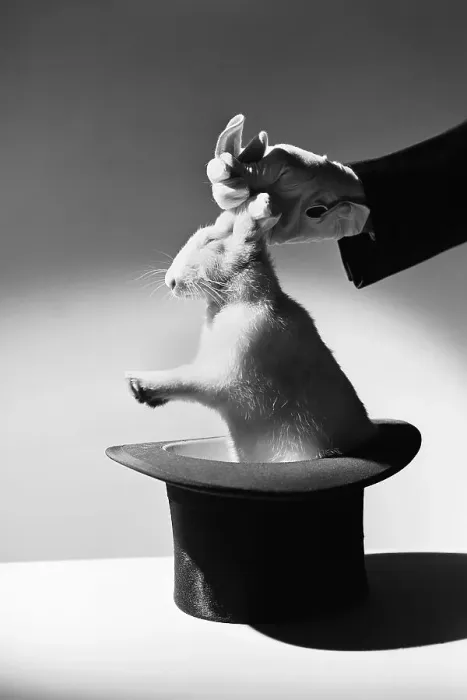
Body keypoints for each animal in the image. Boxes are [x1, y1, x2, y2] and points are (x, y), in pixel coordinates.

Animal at [125, 120, 377, 463]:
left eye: (210, 242)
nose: (170, 282)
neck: (235, 299)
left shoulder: (227, 371)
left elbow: (190, 379)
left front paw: (139, 384)